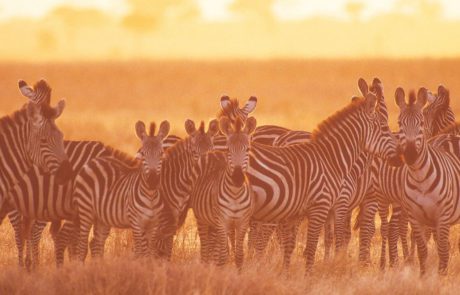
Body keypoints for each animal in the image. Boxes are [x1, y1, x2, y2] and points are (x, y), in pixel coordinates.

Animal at [190, 117, 255, 270]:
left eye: (248, 149)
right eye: (228, 150)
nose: (237, 178)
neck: (235, 193)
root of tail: (211, 153)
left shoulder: (243, 222)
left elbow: (239, 254)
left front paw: (238, 274)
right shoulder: (222, 221)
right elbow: (223, 255)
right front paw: (220, 273)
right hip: (202, 218)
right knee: (205, 249)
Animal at [394, 87, 460, 276]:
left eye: (421, 123)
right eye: (399, 123)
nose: (409, 155)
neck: (420, 177)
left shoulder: (442, 216)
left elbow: (443, 249)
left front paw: (441, 277)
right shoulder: (416, 217)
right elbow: (423, 250)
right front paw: (423, 276)